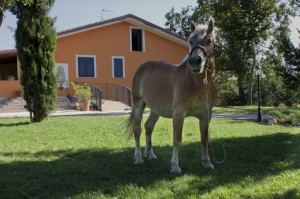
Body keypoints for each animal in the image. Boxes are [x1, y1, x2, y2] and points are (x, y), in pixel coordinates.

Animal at [125, 19, 217, 174]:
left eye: (209, 41)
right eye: (190, 41)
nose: (195, 61)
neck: (195, 82)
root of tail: (142, 68)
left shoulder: (206, 115)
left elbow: (205, 139)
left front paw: (207, 162)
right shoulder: (179, 113)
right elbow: (177, 138)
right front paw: (175, 166)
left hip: (155, 110)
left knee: (148, 127)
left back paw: (150, 154)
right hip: (138, 104)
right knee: (137, 131)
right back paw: (138, 158)